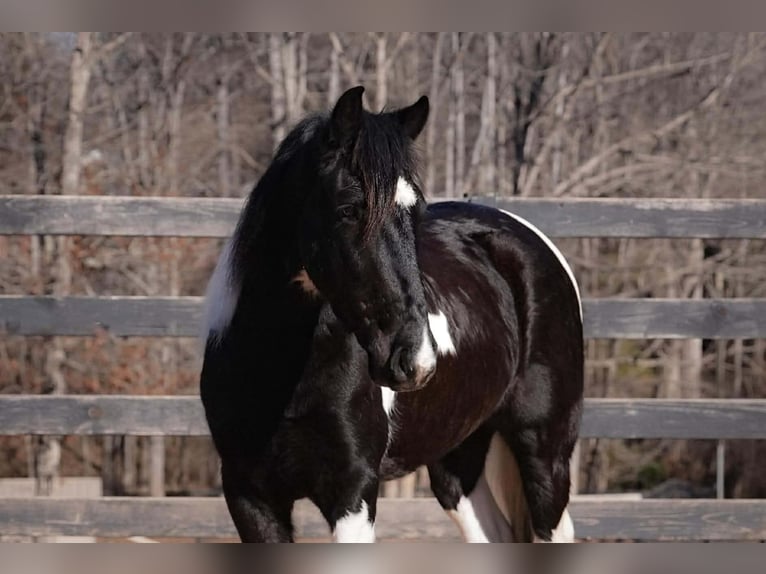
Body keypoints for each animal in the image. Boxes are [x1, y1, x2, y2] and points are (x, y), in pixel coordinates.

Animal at [200, 86, 583, 543]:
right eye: (349, 209)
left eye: (414, 212)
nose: (415, 360)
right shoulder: (250, 497)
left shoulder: (353, 491)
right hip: (457, 456)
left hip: (544, 450)